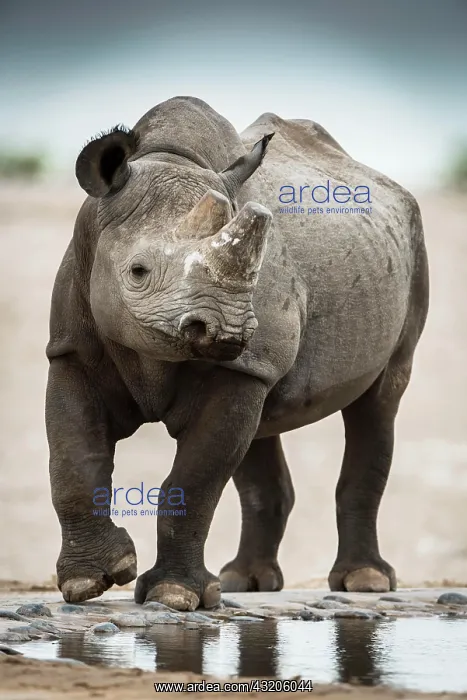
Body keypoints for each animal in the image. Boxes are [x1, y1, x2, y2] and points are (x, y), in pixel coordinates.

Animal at [46, 96, 429, 610]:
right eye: (138, 271)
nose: (227, 329)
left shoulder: (243, 365)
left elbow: (196, 478)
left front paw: (173, 595)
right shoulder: (70, 350)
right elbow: (72, 460)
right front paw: (89, 582)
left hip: (413, 249)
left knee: (380, 401)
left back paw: (364, 581)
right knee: (262, 427)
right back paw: (242, 582)